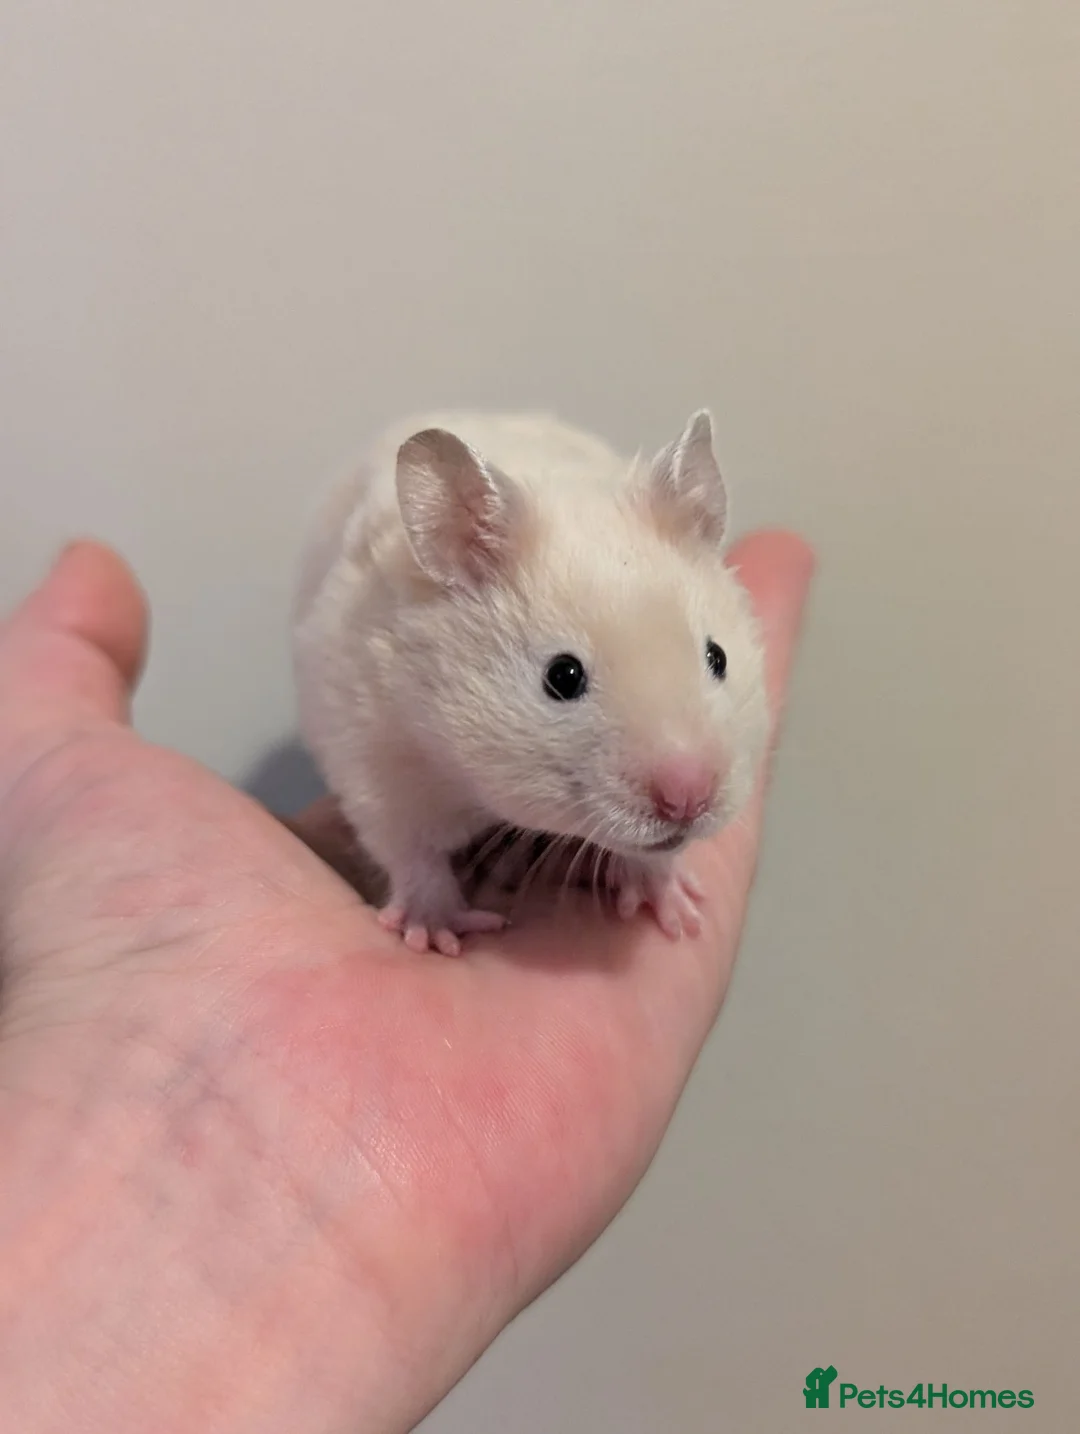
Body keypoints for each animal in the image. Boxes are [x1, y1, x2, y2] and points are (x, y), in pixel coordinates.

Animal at [292, 409, 768, 956]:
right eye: (562, 675)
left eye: (717, 657)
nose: (688, 800)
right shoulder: (375, 755)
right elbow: (411, 851)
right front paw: (438, 934)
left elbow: (656, 857)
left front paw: (677, 912)